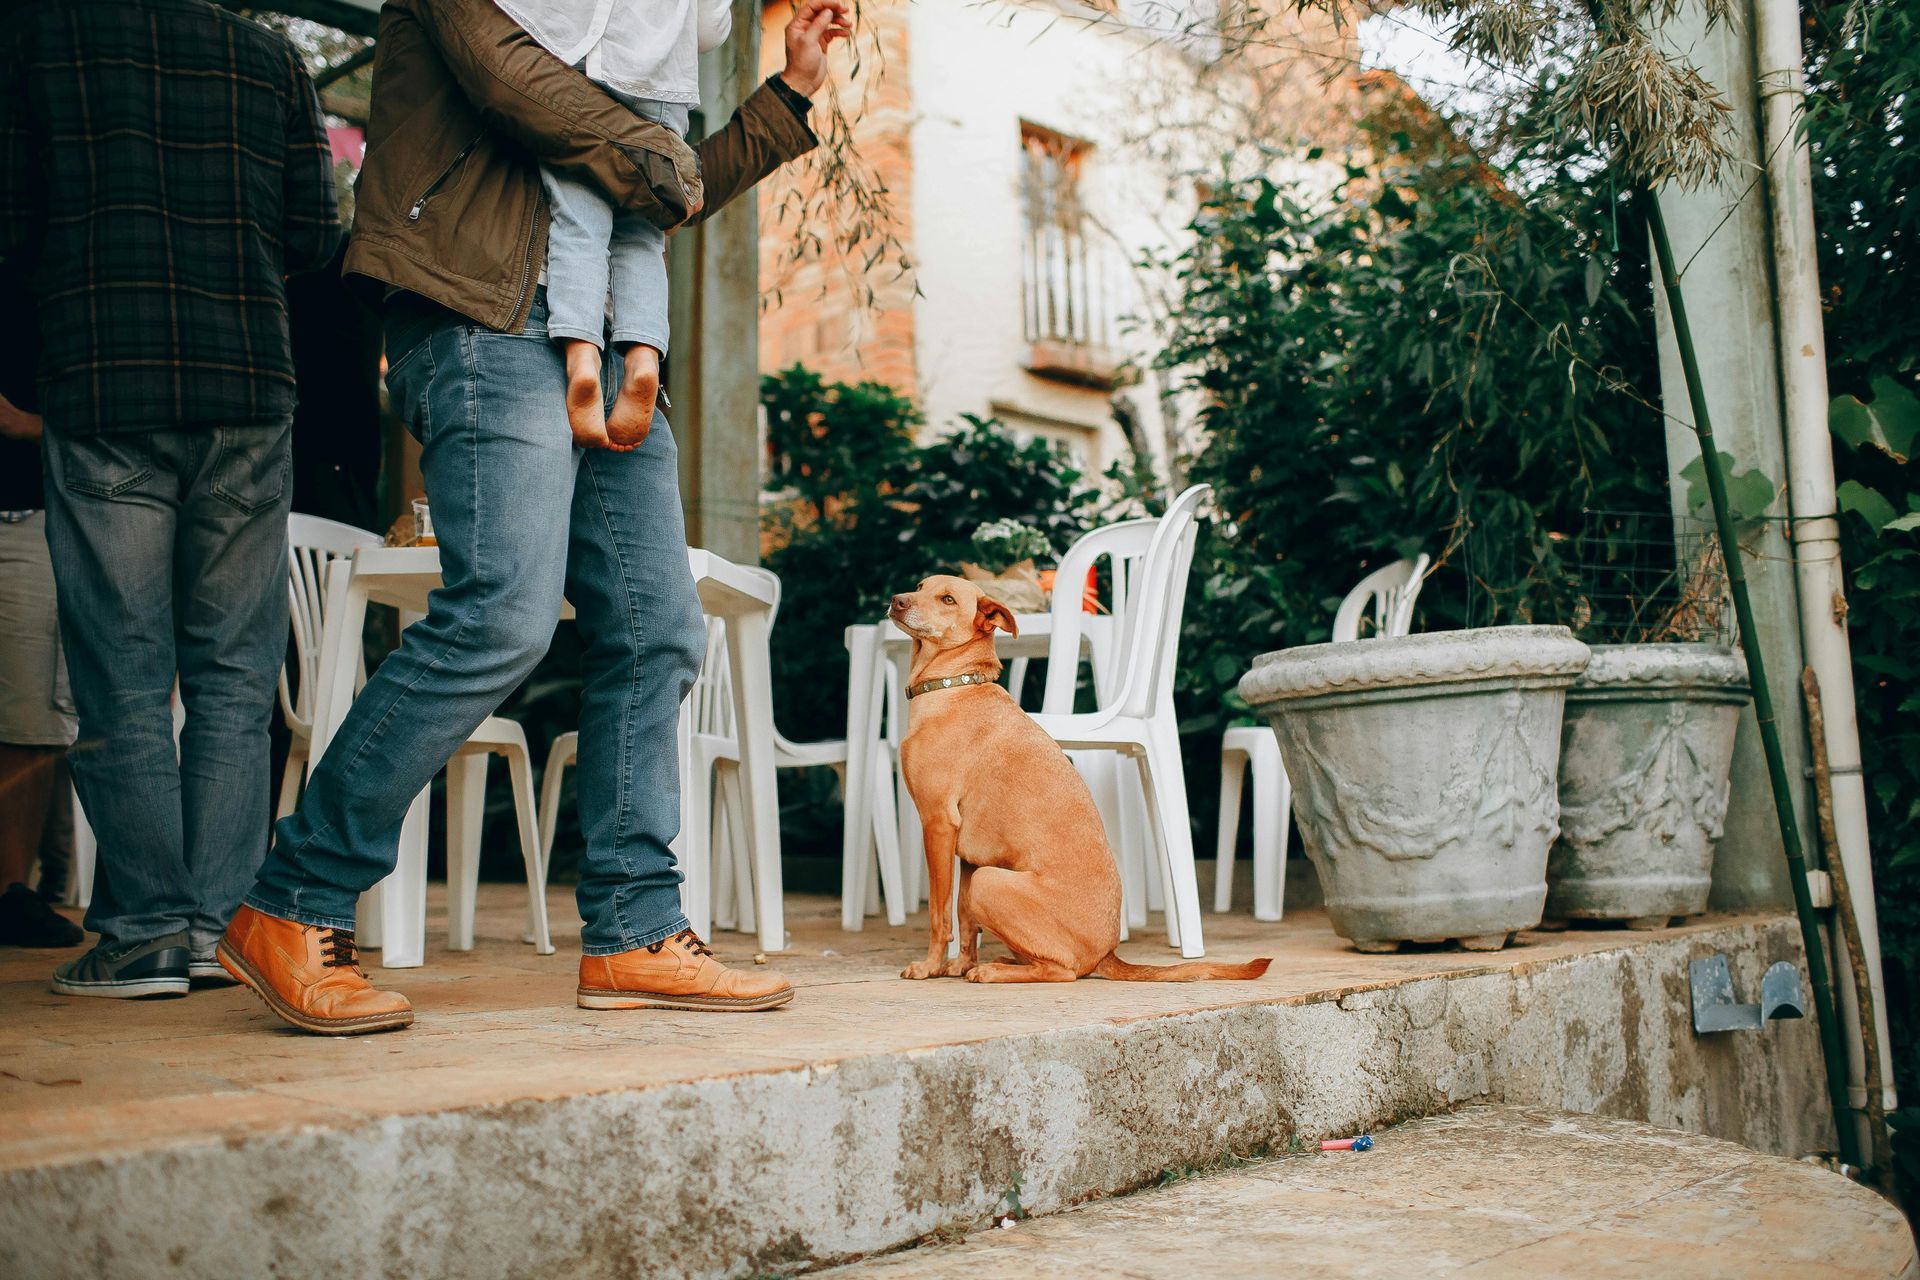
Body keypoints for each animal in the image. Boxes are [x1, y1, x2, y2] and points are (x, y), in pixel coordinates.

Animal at [887, 575, 1274, 990]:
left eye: (947, 599)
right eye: (920, 585)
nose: (896, 600)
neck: (953, 686)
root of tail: (1107, 952)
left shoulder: (938, 825)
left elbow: (939, 913)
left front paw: (930, 966)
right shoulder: (969, 856)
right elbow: (963, 917)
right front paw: (956, 965)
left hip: (990, 882)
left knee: (1063, 971)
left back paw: (994, 970)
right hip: (984, 877)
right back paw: (998, 962)